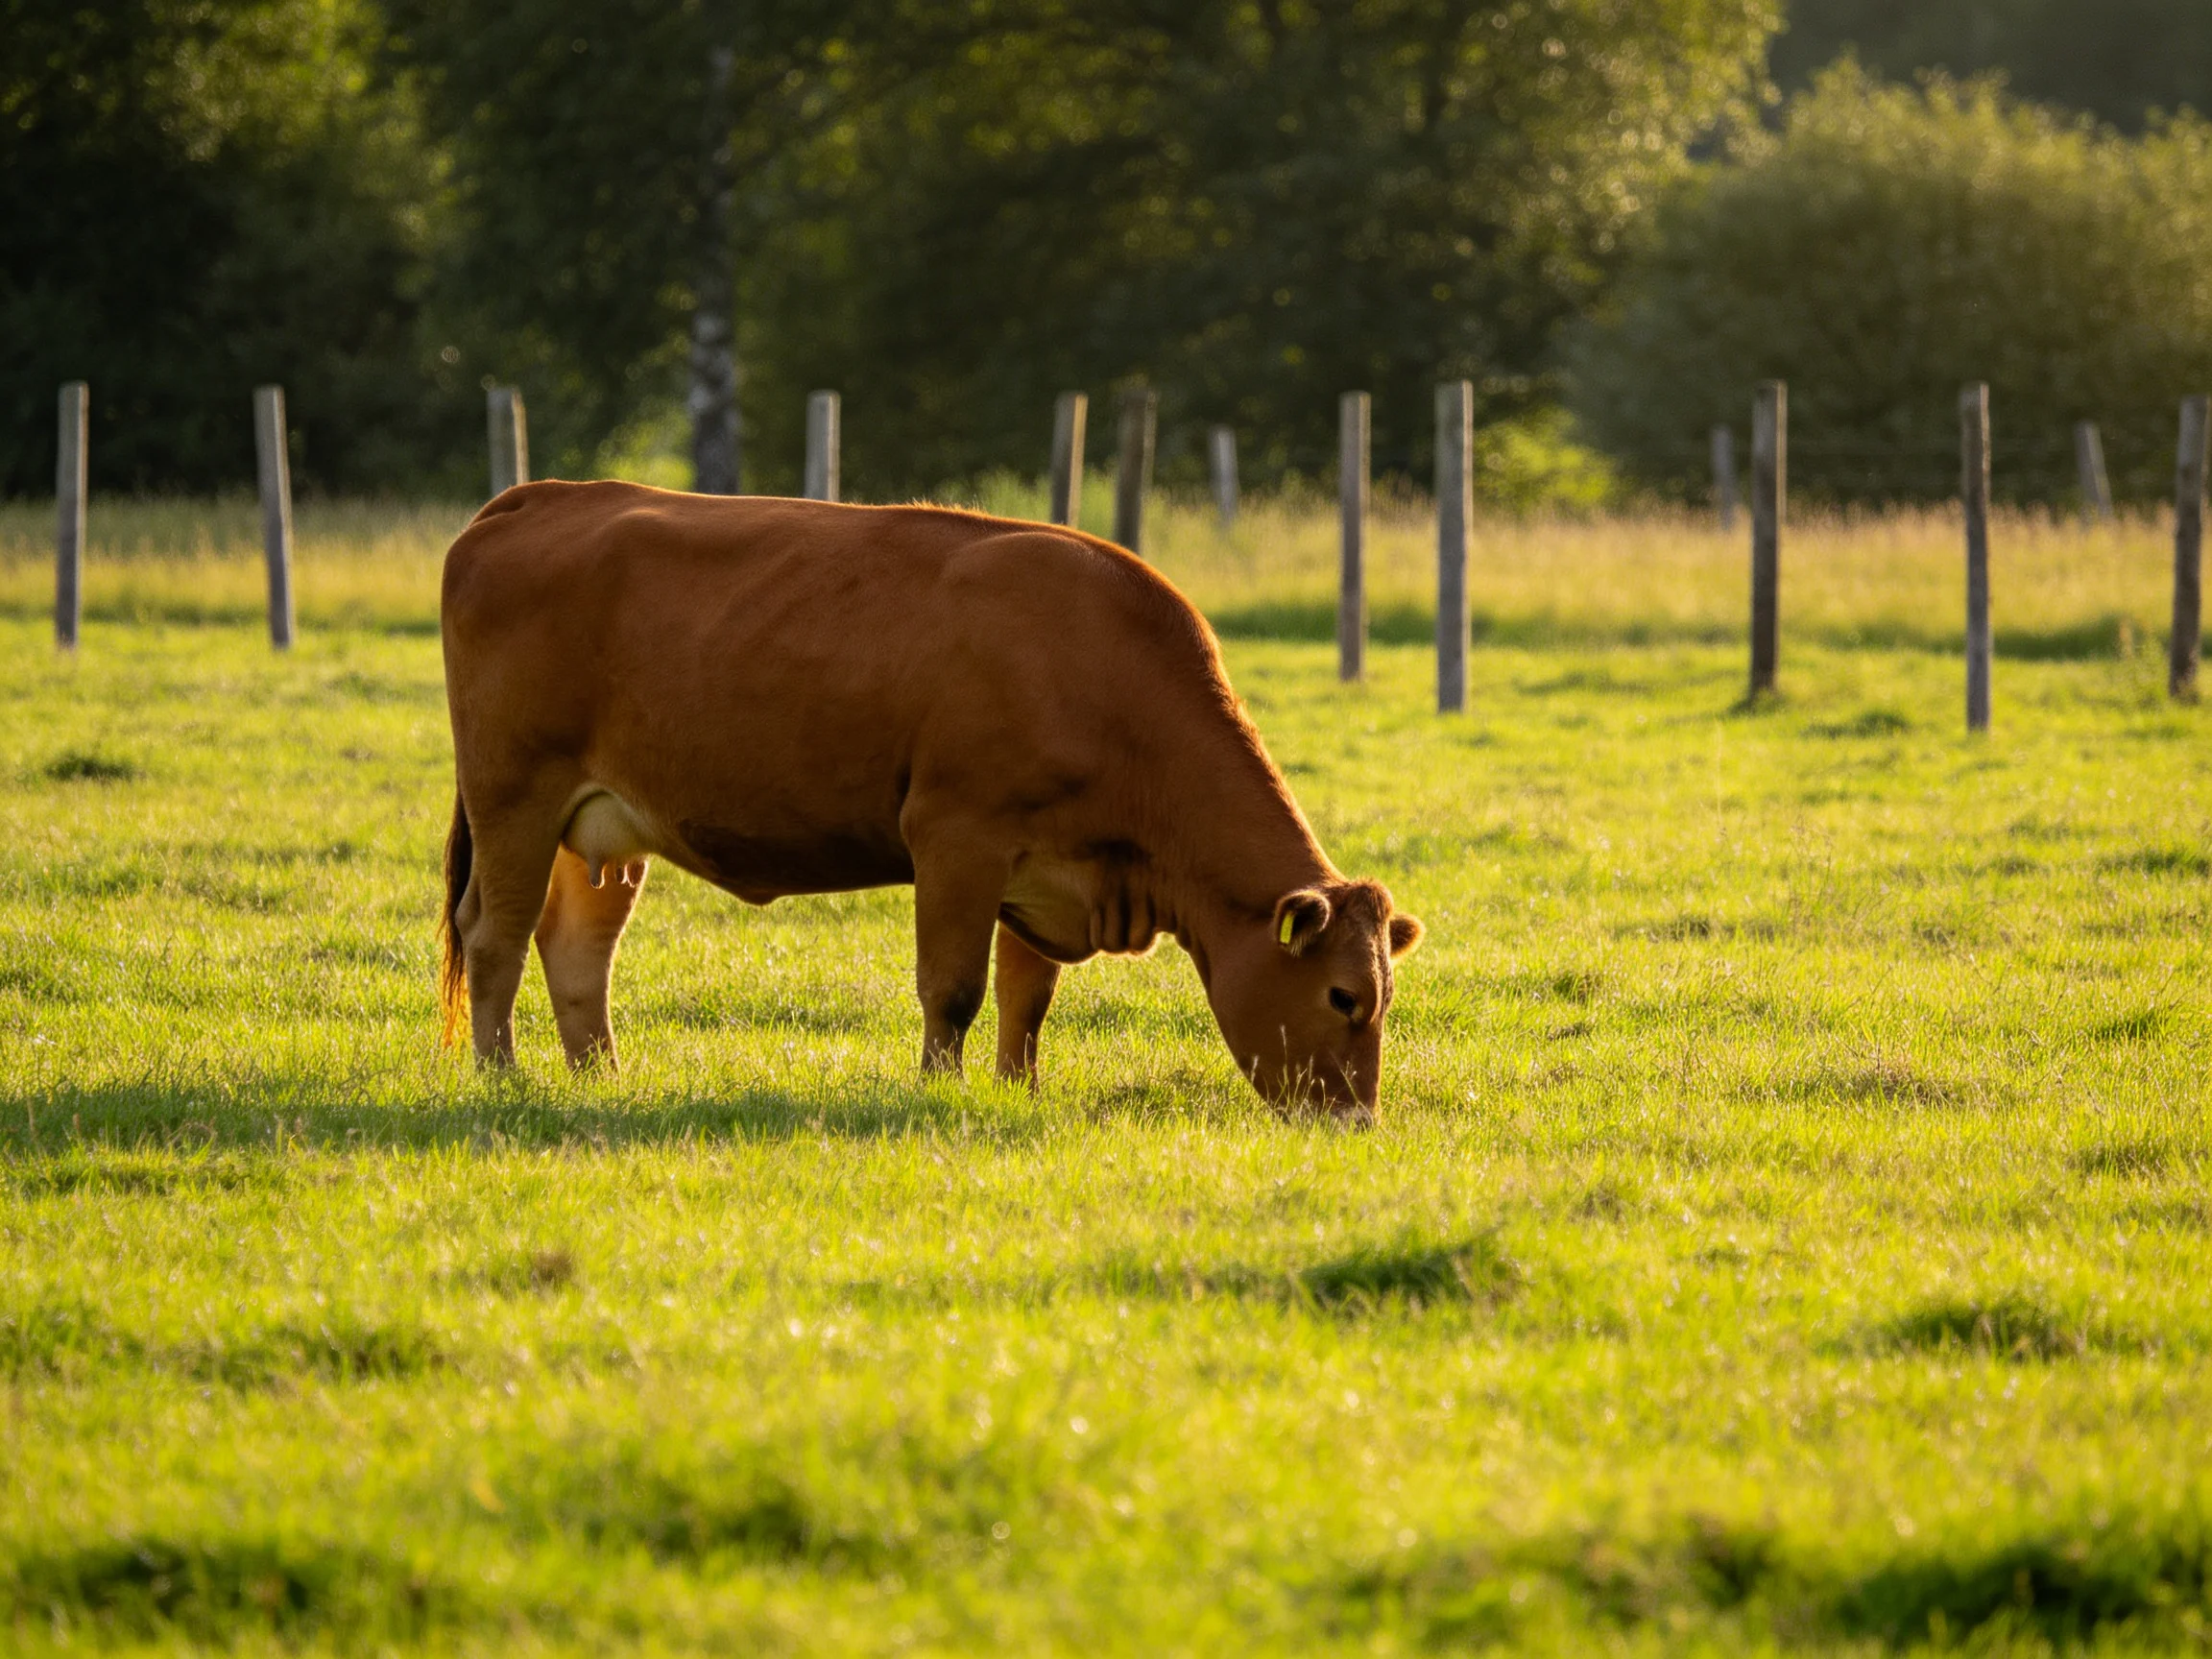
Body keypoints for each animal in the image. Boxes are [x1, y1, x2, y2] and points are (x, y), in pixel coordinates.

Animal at [437, 480, 1423, 1120]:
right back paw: (501, 1077)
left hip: (604, 826)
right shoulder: (957, 838)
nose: (1356, 1121)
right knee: (494, 938)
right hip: (515, 795)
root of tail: (538, 496)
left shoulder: (1051, 868)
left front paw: (1018, 1091)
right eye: (1343, 997)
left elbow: (1029, 997)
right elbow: (953, 989)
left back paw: (598, 1080)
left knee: (576, 950)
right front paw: (939, 1091)